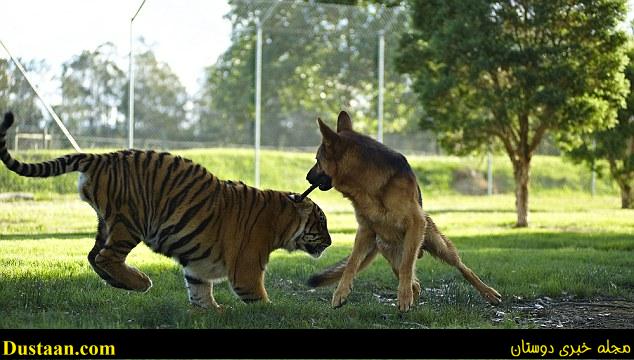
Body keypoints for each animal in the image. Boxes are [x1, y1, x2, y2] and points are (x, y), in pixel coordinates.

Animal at [0, 112, 334, 310]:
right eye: (321, 222)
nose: (331, 242)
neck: (283, 221)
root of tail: (102, 156)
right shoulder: (247, 270)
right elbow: (263, 304)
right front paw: (271, 313)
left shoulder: (198, 268)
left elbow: (200, 293)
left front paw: (212, 313)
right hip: (129, 222)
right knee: (106, 257)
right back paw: (140, 282)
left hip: (107, 223)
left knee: (94, 255)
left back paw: (123, 282)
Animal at [304, 112, 498, 312]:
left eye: (317, 160)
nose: (307, 177)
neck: (369, 186)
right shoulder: (365, 230)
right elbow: (352, 263)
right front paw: (341, 292)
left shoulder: (415, 223)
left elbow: (407, 266)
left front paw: (404, 297)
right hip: (390, 254)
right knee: (415, 283)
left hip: (439, 246)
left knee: (461, 268)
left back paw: (489, 293)